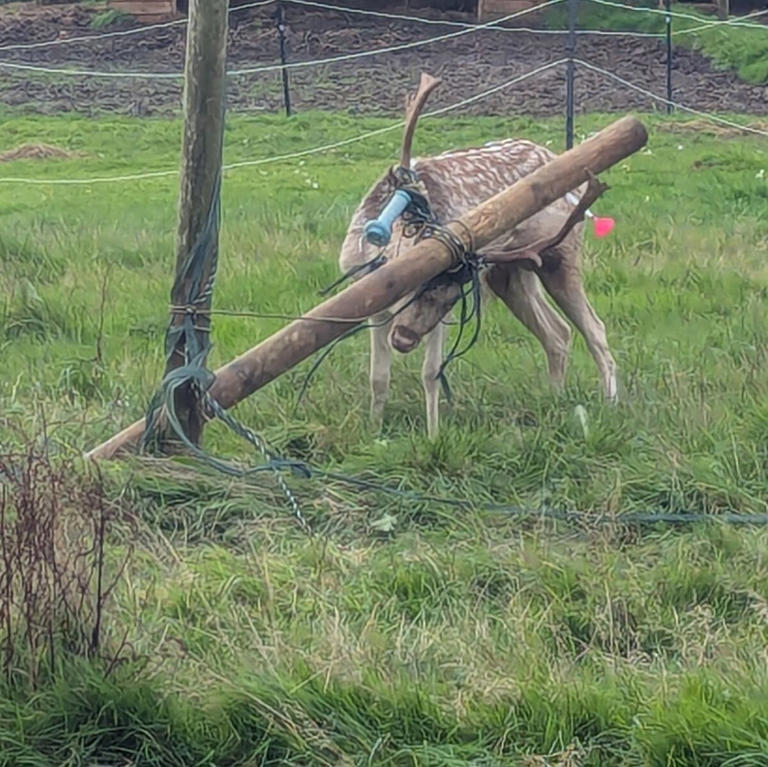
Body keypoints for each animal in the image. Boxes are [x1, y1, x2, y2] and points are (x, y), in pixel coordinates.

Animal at [338, 73, 618, 439]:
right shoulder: (373, 307)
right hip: (510, 273)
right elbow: (378, 377)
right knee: (558, 333)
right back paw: (556, 399)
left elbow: (431, 372)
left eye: (451, 297)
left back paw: (612, 405)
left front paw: (433, 435)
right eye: (414, 286)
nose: (405, 339)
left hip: (561, 254)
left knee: (595, 328)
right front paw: (374, 429)